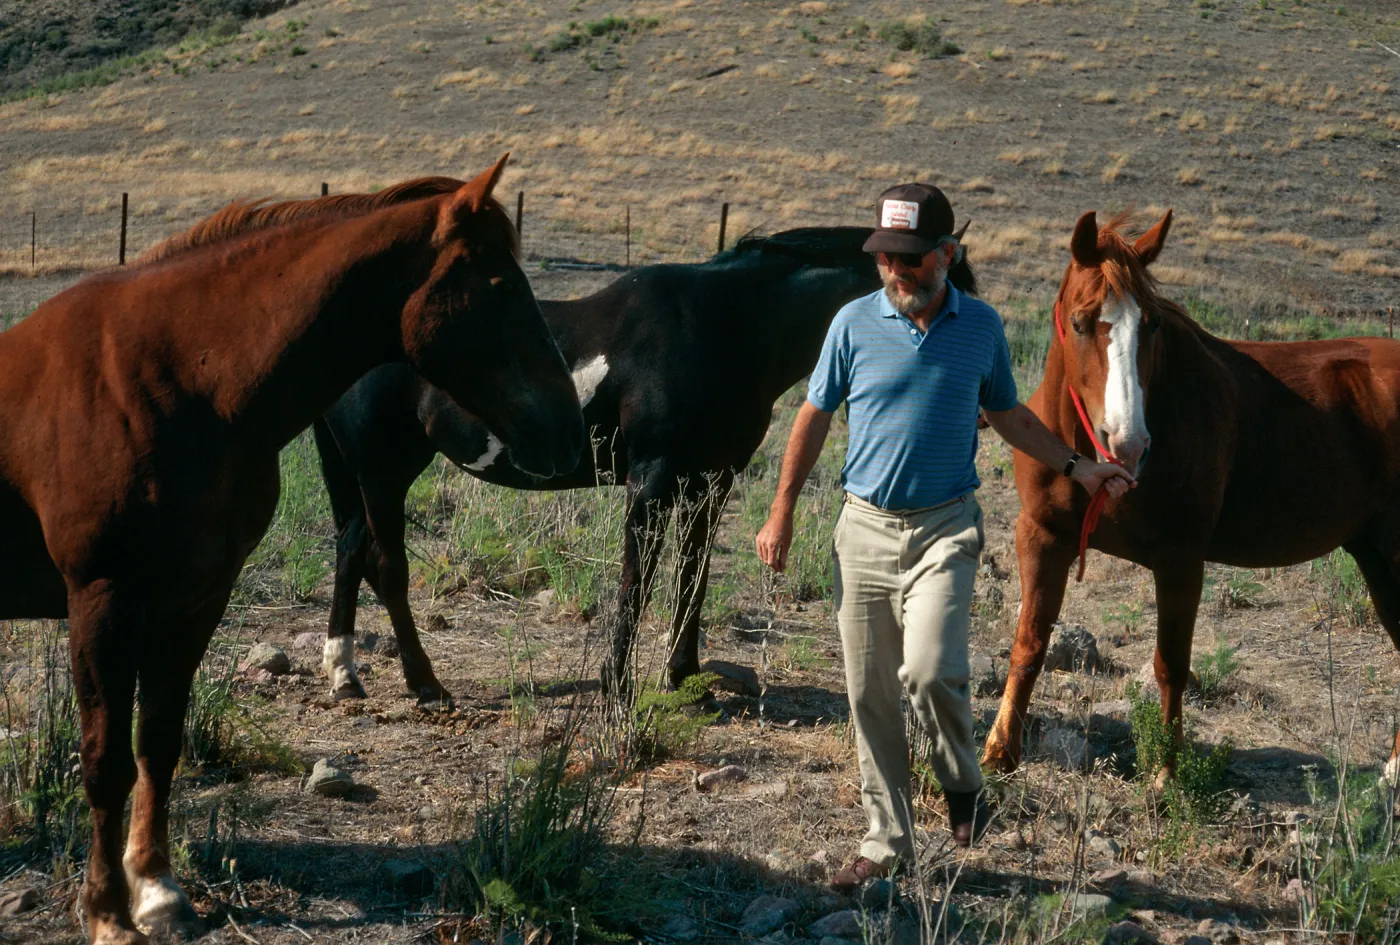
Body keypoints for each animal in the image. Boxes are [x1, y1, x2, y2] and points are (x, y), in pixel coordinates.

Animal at [0, 156, 585, 945]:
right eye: (500, 287)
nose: (569, 430)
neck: (177, 381)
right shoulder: (102, 600)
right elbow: (105, 762)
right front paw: (108, 913)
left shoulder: (195, 598)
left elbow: (158, 742)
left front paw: (156, 890)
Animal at [313, 220, 979, 707]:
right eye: (944, 288)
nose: (973, 404)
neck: (724, 326)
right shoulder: (651, 479)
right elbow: (637, 582)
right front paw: (618, 681)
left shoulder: (712, 482)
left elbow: (693, 575)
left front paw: (682, 672)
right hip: (384, 473)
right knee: (384, 567)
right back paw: (425, 685)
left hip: (369, 476)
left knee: (349, 552)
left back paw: (346, 674)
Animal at [980, 208, 1400, 786]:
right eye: (1082, 322)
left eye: (1152, 324)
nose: (1128, 446)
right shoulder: (1042, 536)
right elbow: (1029, 645)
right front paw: (999, 753)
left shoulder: (1180, 558)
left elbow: (1170, 665)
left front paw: (1166, 772)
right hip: (1377, 556)